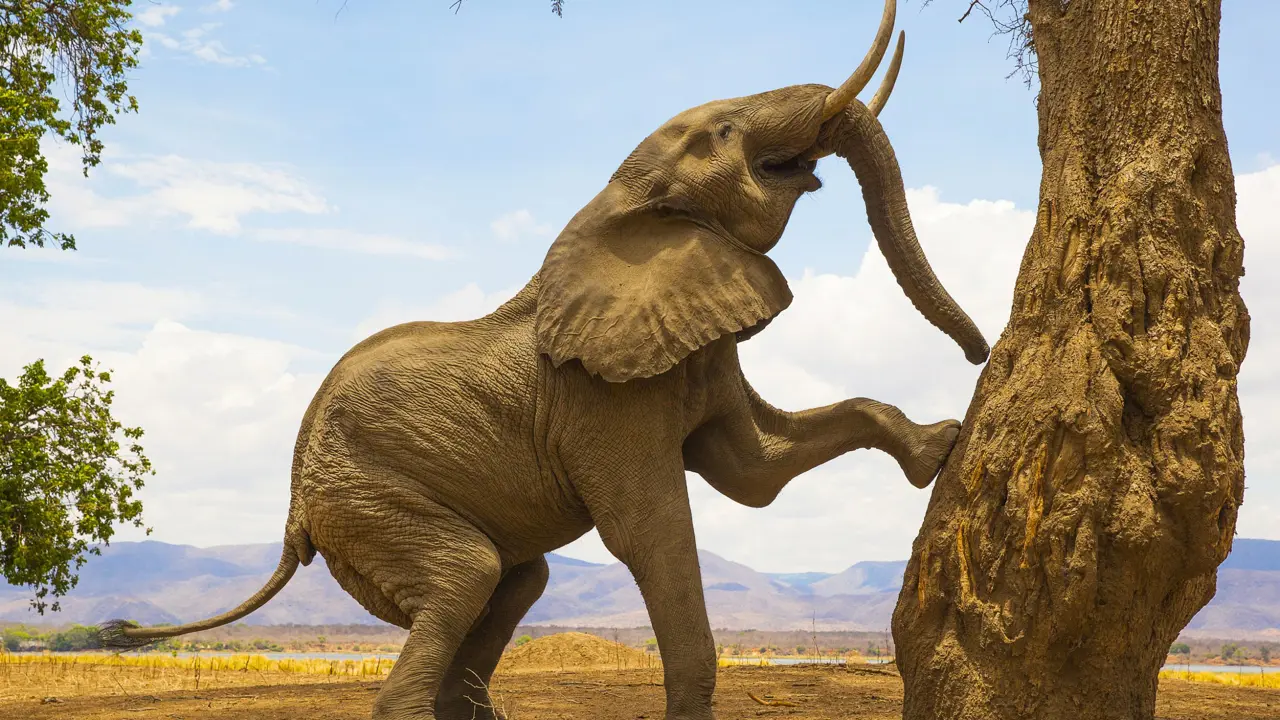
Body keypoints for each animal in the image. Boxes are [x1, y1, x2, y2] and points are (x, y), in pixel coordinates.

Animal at [104, 2, 988, 712]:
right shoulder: (602, 398)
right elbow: (653, 532)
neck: (619, 204)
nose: (980, 350)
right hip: (366, 499)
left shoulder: (689, 347)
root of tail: (292, 510)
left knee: (514, 580)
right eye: (727, 133)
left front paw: (940, 447)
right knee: (465, 576)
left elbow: (755, 472)